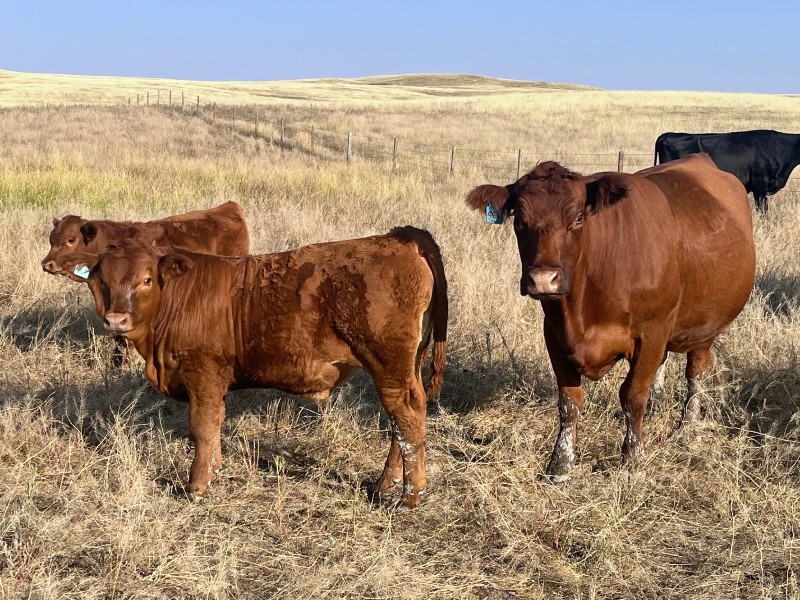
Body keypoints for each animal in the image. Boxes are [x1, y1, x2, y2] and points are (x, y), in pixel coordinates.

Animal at [86, 227, 448, 508]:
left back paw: (409, 497)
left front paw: (196, 488)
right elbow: (214, 426)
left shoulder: (203, 374)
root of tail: (401, 237)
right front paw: (214, 471)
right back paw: (385, 486)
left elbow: (202, 428)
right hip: (404, 369)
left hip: (389, 366)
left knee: (407, 419)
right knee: (400, 424)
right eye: (102, 281)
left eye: (146, 279)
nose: (116, 320)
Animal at [466, 154, 755, 481]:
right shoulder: (554, 333)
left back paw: (687, 430)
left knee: (695, 375)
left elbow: (633, 395)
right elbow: (569, 401)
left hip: (704, 329)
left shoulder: (652, 331)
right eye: (519, 219)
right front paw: (560, 464)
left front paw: (632, 461)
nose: (542, 279)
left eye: (579, 217)